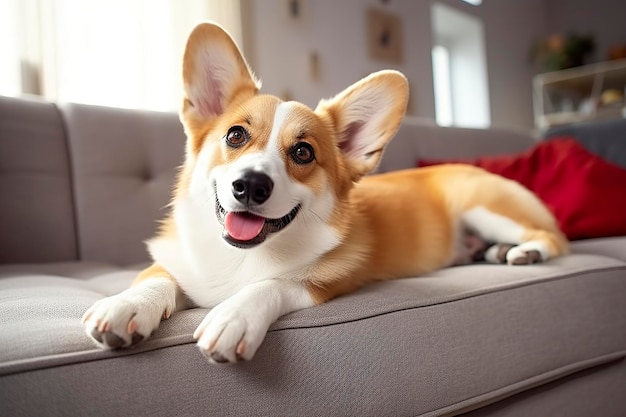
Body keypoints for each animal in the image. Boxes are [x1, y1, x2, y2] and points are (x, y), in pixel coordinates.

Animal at [80, 22, 568, 362]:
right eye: (236, 135)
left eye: (303, 152)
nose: (250, 185)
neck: (241, 256)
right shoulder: (178, 265)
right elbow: (156, 278)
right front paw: (126, 306)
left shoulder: (323, 283)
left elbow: (273, 284)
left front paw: (234, 316)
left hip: (484, 207)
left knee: (554, 237)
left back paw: (526, 252)